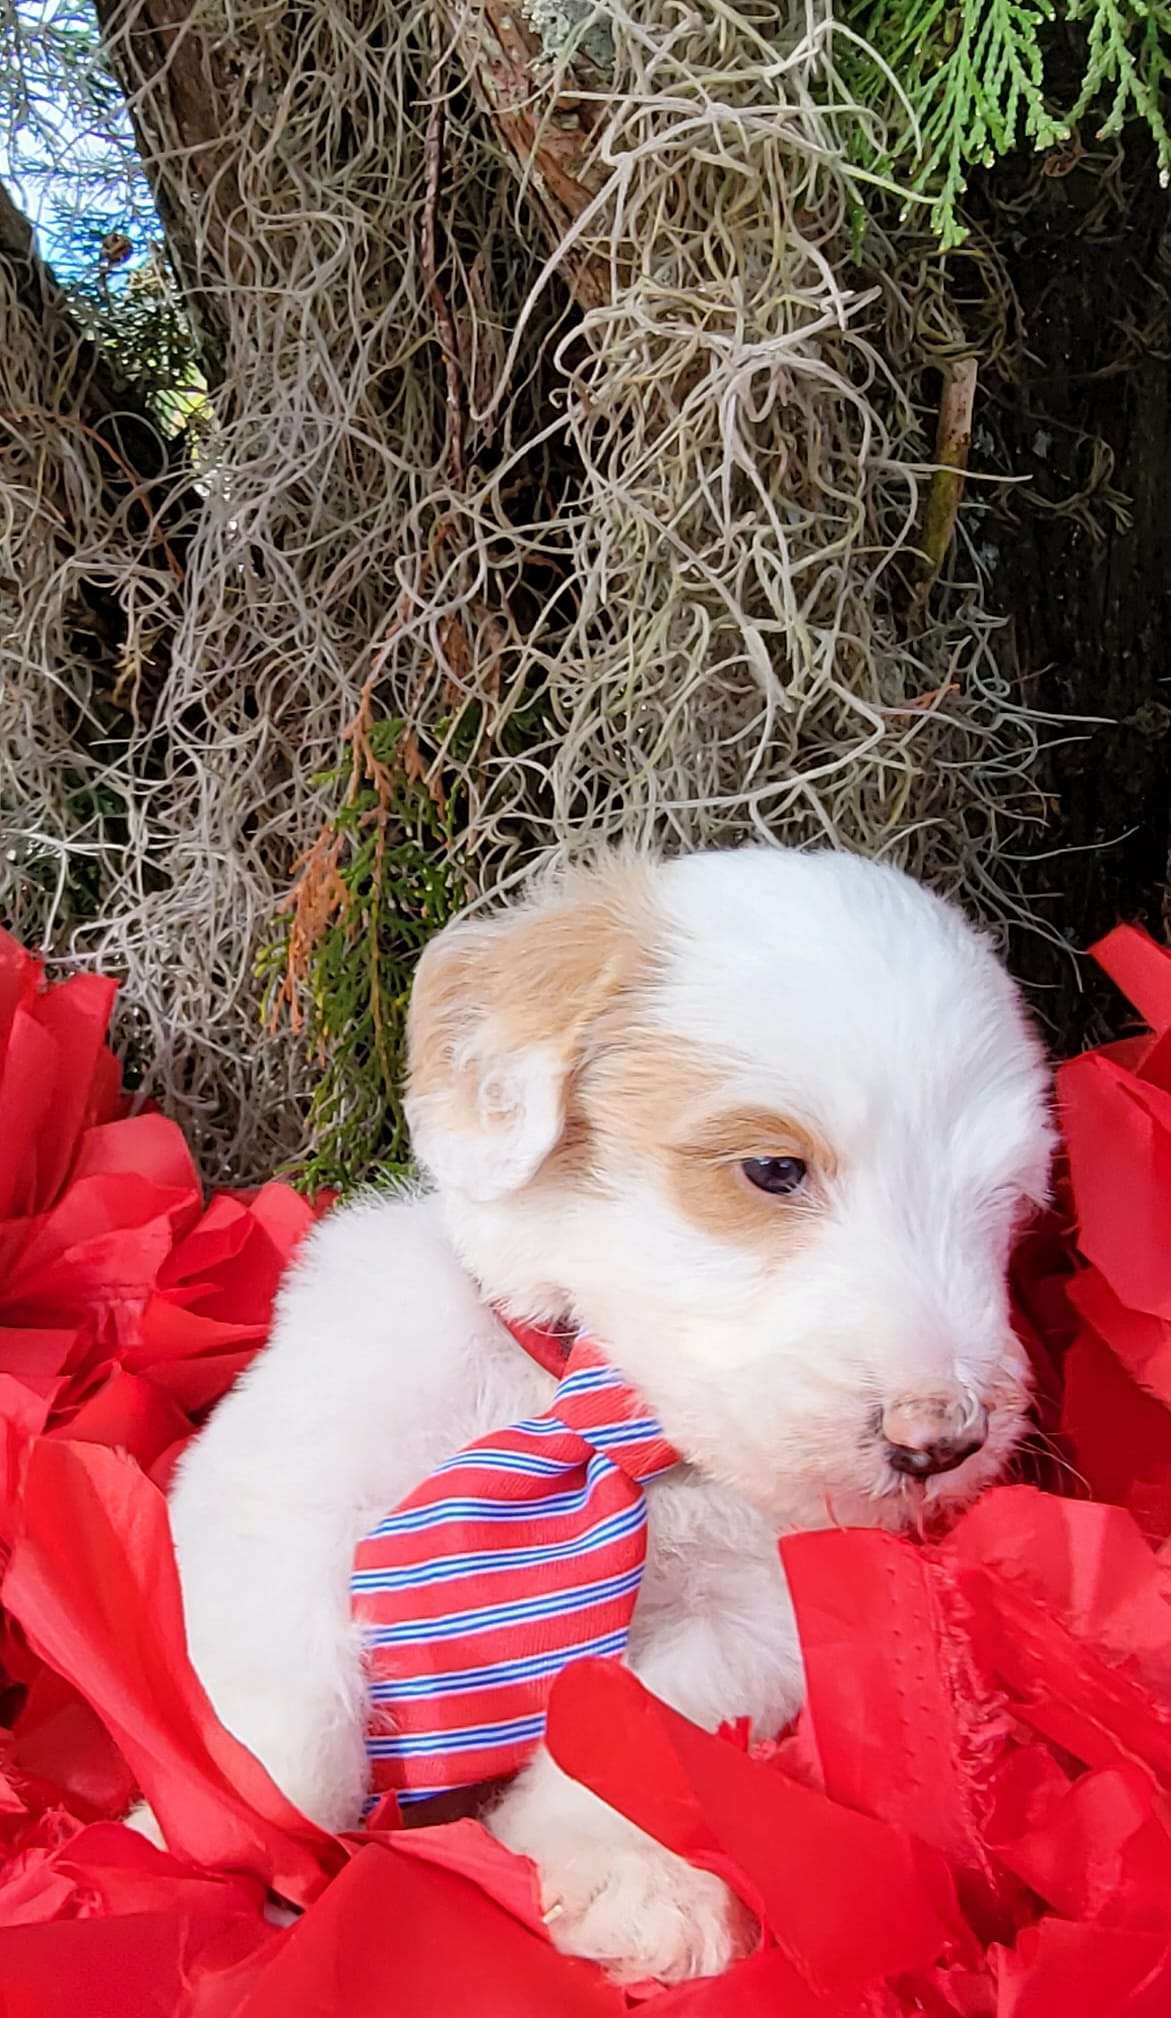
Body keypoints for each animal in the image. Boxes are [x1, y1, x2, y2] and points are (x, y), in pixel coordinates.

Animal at [159, 846, 1052, 1982]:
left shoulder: (751, 1610)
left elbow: (640, 1723)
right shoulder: (281, 1479)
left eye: (1009, 1206)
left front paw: (627, 1884)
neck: (584, 1410)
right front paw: (223, 1841)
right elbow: (281, 1695)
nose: (941, 1440)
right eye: (772, 1168)